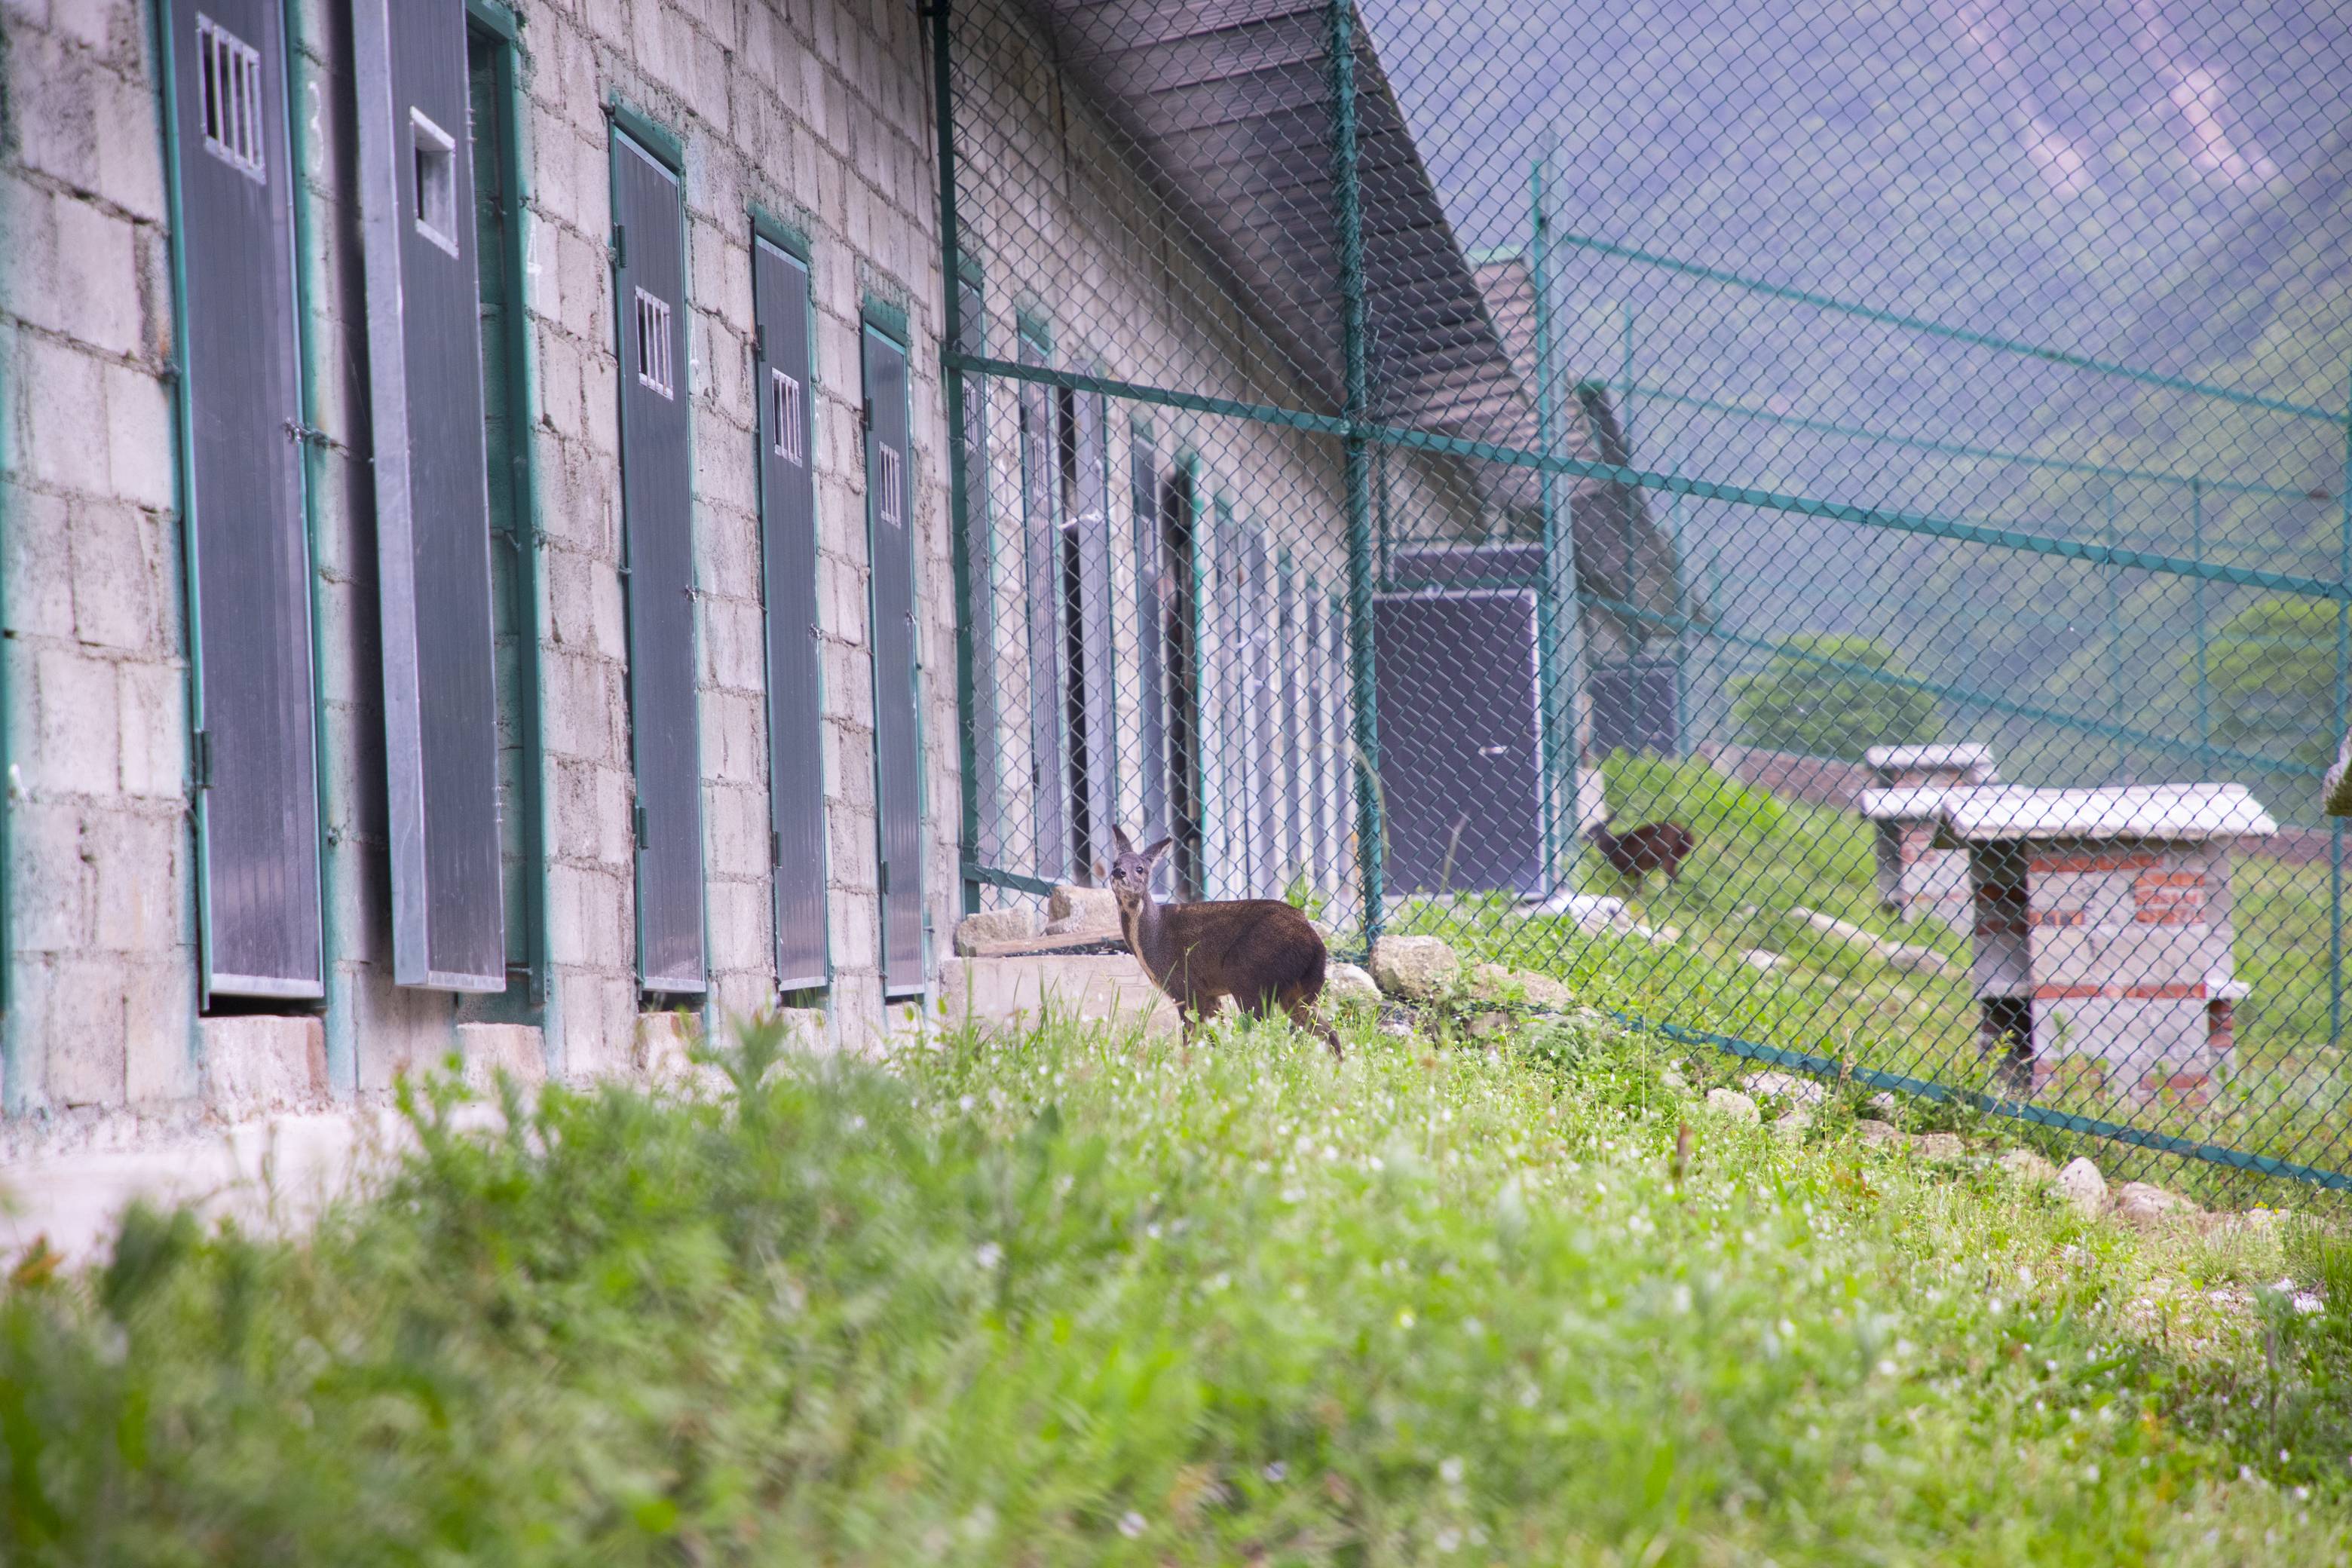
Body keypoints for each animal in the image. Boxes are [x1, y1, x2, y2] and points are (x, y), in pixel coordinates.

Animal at [1101, 827, 1345, 1062]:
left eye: (1140, 868)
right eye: (1115, 863)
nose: (1118, 873)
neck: (1154, 935)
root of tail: (1316, 946)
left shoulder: (1185, 986)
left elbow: (1191, 1038)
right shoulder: (1209, 994)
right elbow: (1212, 1039)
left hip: (1247, 976)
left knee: (1264, 1032)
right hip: (1296, 992)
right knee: (1327, 1032)